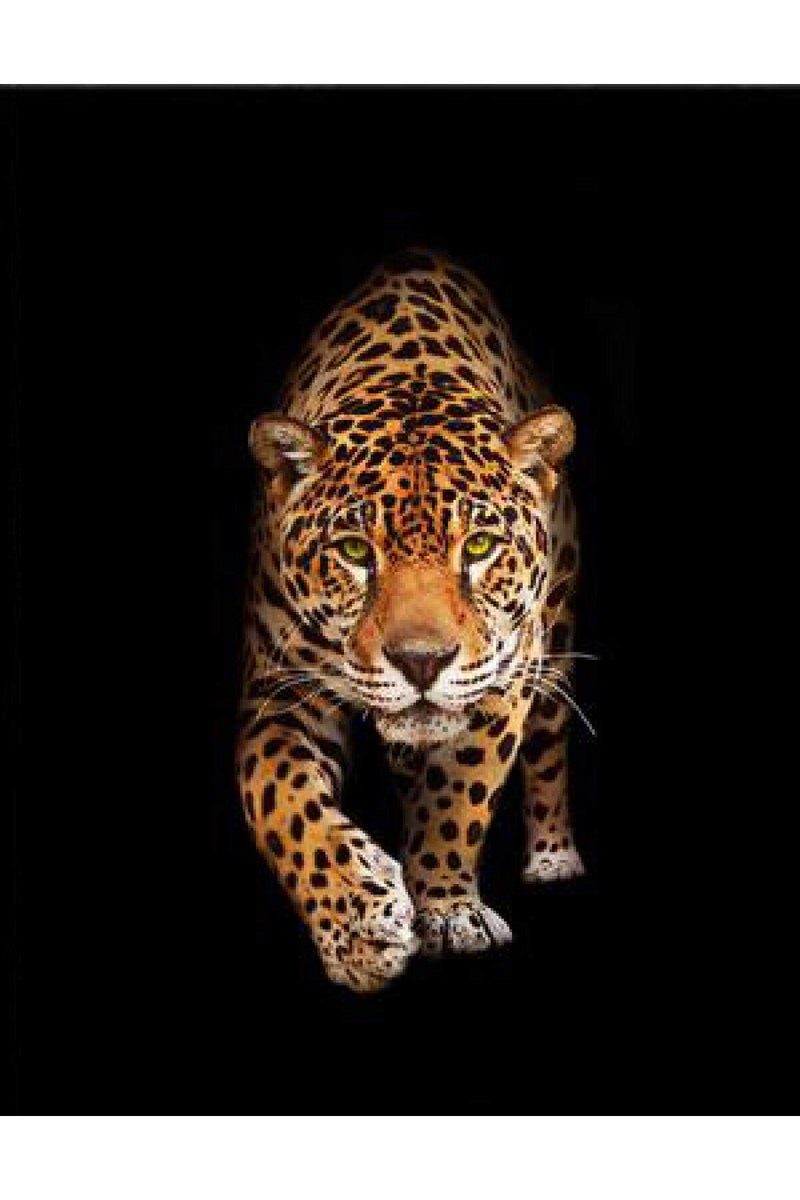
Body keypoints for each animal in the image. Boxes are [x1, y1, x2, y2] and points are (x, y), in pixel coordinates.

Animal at [235, 248, 586, 992]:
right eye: (353, 552)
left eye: (478, 547)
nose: (421, 662)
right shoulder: (280, 691)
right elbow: (281, 800)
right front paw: (360, 928)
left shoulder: (504, 676)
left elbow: (459, 795)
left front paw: (448, 910)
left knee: (548, 745)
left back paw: (553, 856)